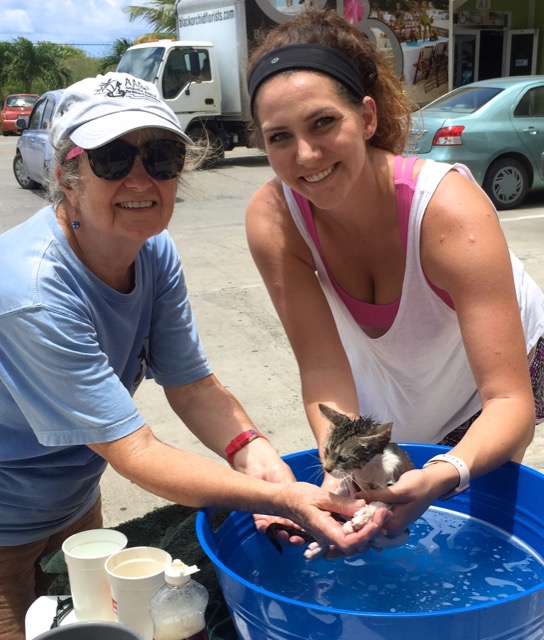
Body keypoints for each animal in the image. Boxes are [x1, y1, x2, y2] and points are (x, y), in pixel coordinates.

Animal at [304, 404, 414, 560]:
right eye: (326, 451)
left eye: (342, 458)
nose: (327, 468)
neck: (369, 469)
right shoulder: (351, 482)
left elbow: (384, 499)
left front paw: (366, 514)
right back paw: (317, 548)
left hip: (402, 536)